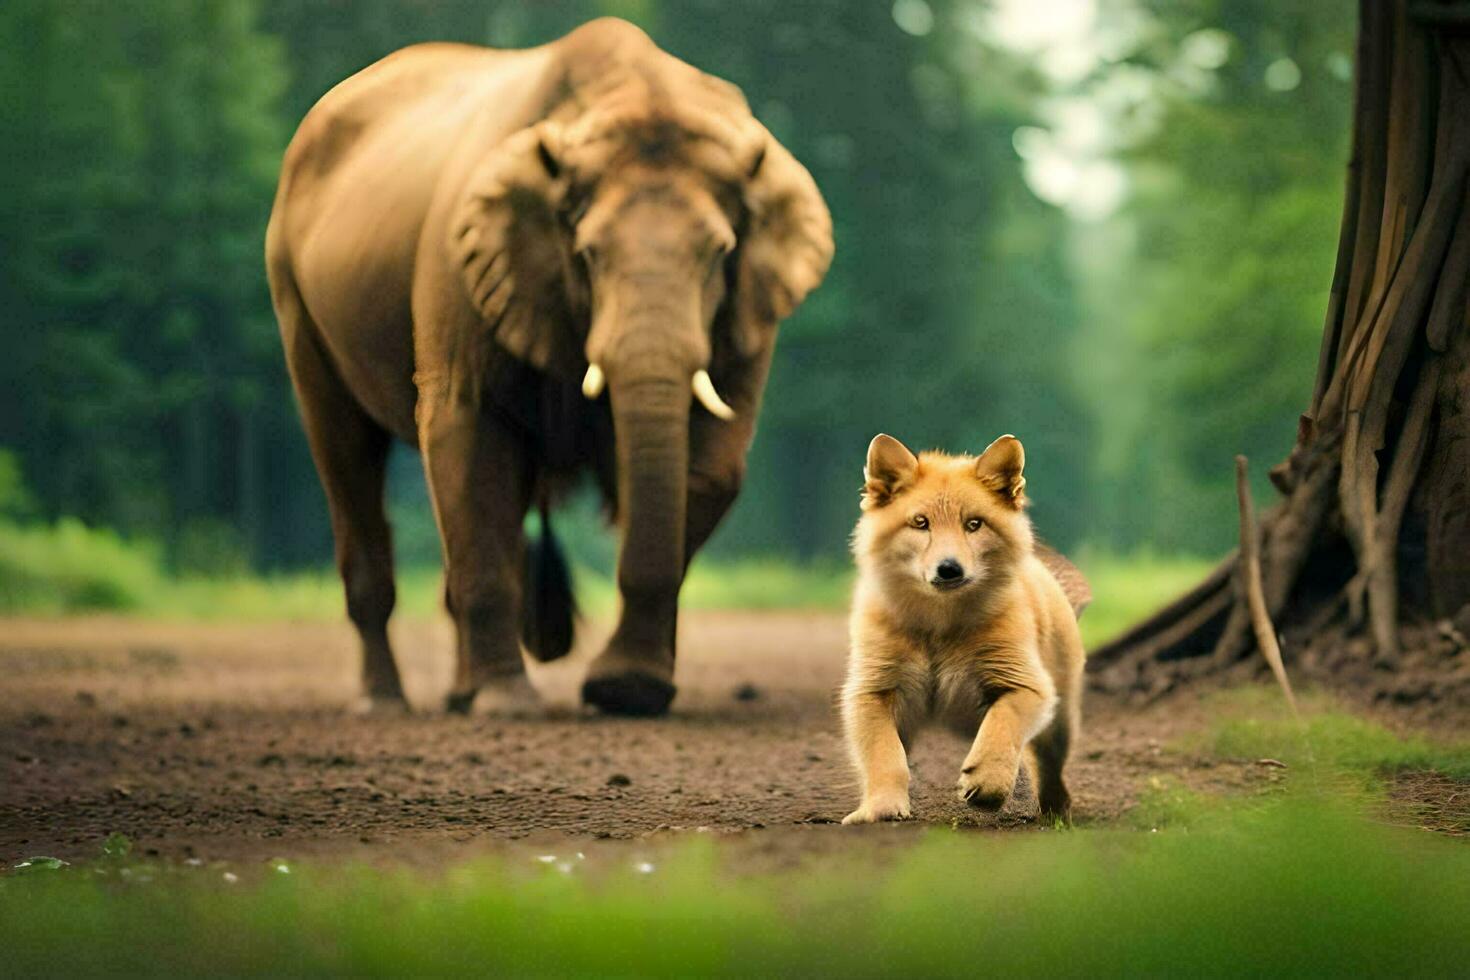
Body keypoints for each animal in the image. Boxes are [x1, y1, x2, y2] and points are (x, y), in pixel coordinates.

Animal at [264, 19, 834, 717]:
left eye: (720, 253)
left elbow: (712, 464)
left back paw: (460, 696)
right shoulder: (458, 264)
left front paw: (627, 692)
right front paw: (510, 706)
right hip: (293, 289)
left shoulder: (747, 308)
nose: (621, 690)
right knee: (346, 453)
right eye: (586, 254)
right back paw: (389, 703)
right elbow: (466, 434)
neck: (630, 97)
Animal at [840, 431, 1093, 822]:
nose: (949, 569)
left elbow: (1003, 723)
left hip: (1060, 717)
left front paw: (987, 784)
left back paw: (1054, 808)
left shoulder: (1025, 684)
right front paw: (880, 807)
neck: (940, 626)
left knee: (1047, 763)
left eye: (974, 524)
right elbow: (884, 752)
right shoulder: (873, 689)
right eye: (920, 522)